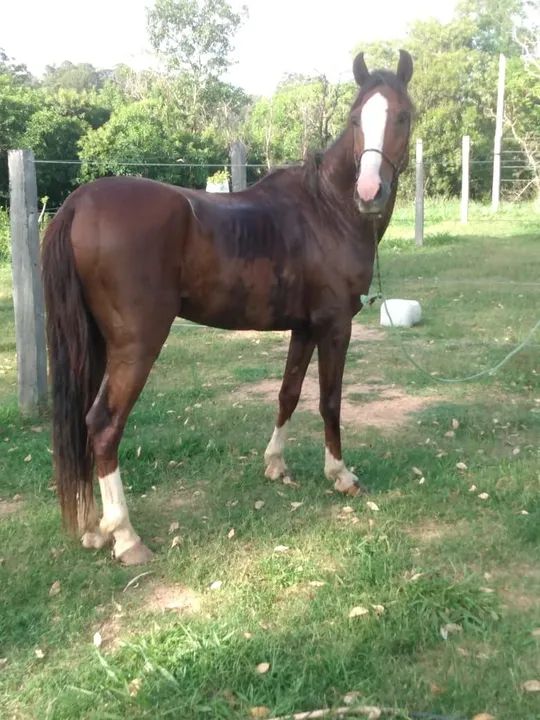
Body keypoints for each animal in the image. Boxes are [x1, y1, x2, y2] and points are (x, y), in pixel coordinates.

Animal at [41, 50, 414, 565]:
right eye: (357, 118)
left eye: (402, 115)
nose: (370, 191)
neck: (327, 211)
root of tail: (79, 202)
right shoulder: (335, 326)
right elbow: (330, 400)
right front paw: (341, 475)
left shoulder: (305, 328)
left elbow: (289, 394)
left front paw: (275, 465)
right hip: (136, 346)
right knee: (103, 425)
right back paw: (125, 536)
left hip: (95, 343)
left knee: (83, 423)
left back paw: (95, 529)